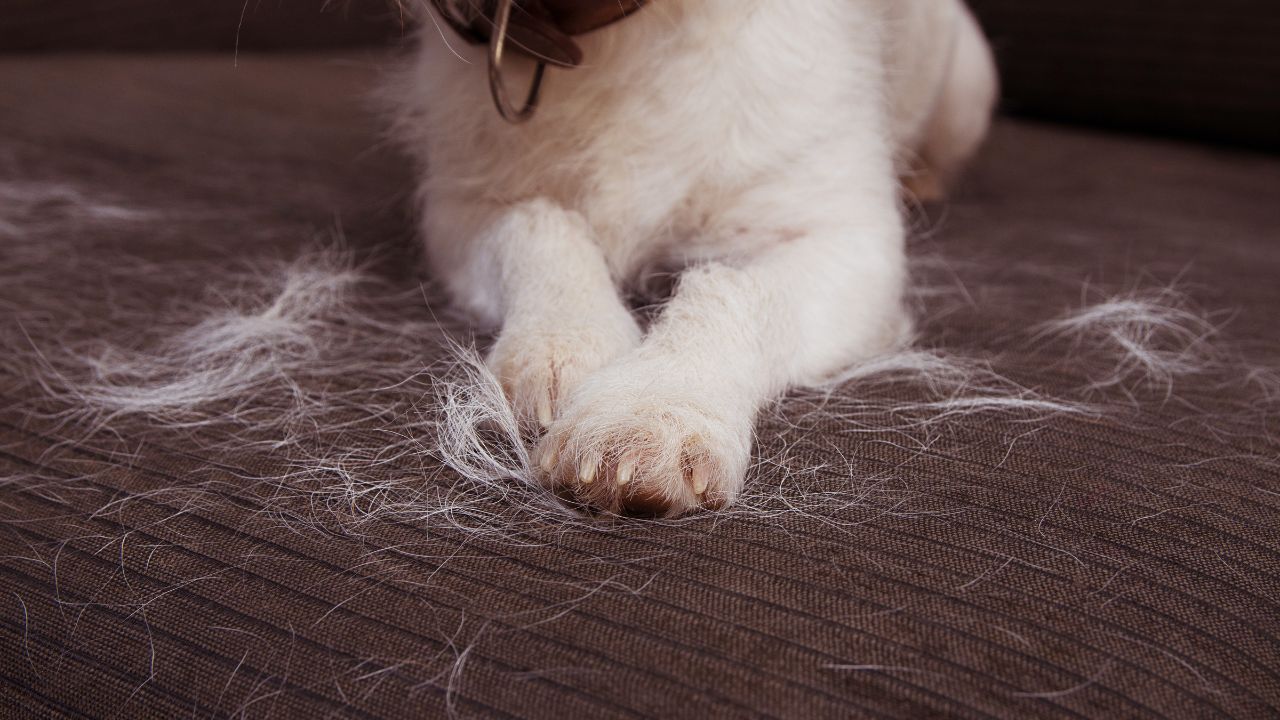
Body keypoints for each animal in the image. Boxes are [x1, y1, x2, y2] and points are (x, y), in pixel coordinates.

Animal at [389, 1, 998, 515]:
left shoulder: (849, 241)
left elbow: (734, 289)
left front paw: (651, 409)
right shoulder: (461, 210)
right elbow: (539, 225)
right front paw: (563, 342)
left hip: (968, 84)